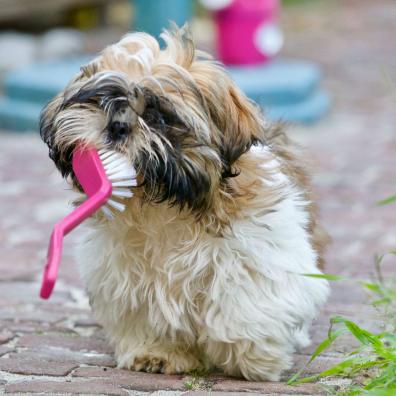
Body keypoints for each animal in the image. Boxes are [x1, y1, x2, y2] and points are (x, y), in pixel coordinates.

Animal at [41, 25, 332, 380]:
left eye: (159, 117)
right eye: (104, 101)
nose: (118, 126)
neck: (159, 201)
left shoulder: (258, 249)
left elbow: (246, 301)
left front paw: (251, 356)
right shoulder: (123, 271)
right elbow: (145, 310)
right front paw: (157, 351)